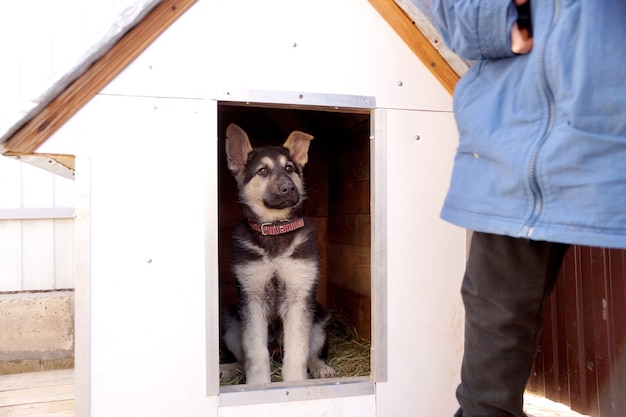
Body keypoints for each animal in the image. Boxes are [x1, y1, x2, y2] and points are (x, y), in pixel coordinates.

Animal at [221, 122, 336, 384]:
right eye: (262, 171)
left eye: (290, 168)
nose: (289, 188)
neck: (275, 229)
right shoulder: (252, 298)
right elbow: (255, 350)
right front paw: (258, 384)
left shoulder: (298, 297)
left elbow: (298, 349)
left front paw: (295, 382)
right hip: (231, 320)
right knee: (242, 357)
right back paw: (229, 368)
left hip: (320, 319)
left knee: (313, 353)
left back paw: (320, 368)